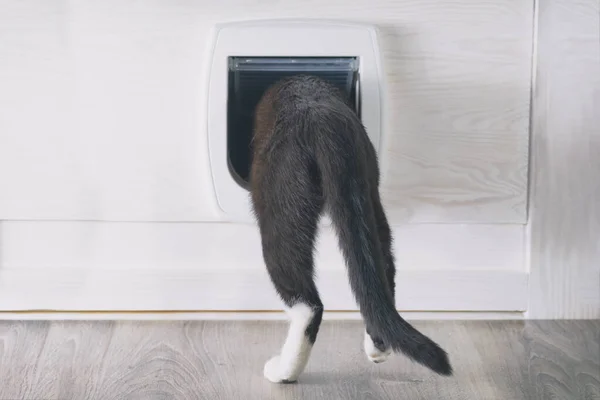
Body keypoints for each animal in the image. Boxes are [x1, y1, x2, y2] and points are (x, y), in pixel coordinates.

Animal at [248, 73, 450, 382]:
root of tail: (321, 119)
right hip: (368, 192)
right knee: (382, 272)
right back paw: (378, 348)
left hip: (280, 200)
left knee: (308, 304)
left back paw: (283, 371)